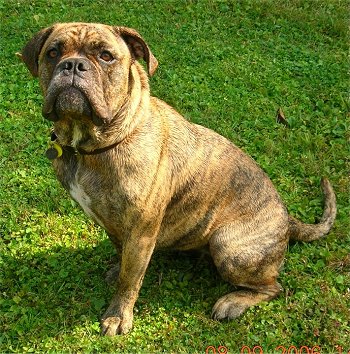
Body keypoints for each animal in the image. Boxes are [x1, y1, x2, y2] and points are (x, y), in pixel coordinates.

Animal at [20, 23, 338, 336]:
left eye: (106, 56)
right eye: (53, 52)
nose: (73, 64)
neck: (92, 145)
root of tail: (287, 219)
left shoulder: (141, 231)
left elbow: (130, 280)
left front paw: (118, 315)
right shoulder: (113, 222)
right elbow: (123, 257)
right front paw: (116, 270)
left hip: (228, 246)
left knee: (273, 287)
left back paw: (232, 302)